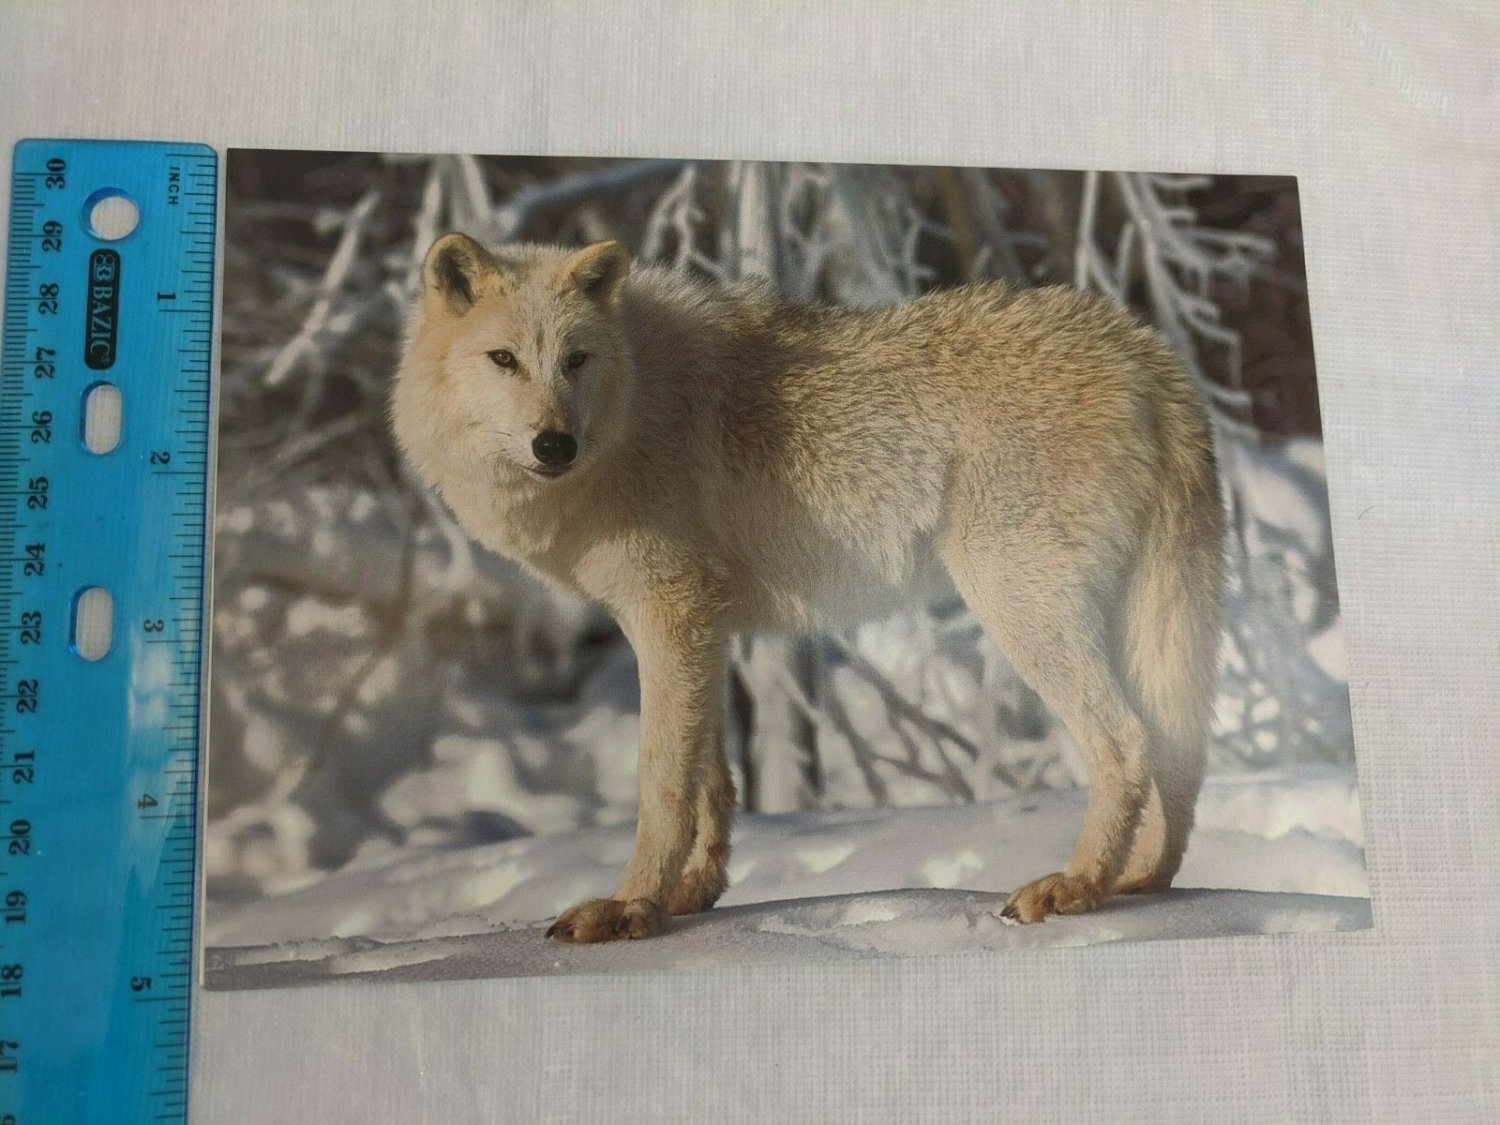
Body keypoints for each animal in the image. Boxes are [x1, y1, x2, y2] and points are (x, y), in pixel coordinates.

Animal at [391, 234, 1224, 942]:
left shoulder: (669, 611)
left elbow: (662, 781)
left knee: (1125, 741)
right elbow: (711, 781)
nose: (554, 443)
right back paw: (1141, 881)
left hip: (1023, 606)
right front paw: (688, 897)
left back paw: (1076, 886)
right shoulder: (699, 626)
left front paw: (629, 907)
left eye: (575, 358)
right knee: (1178, 748)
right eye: (503, 359)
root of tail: (1142, 349)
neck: (633, 409)